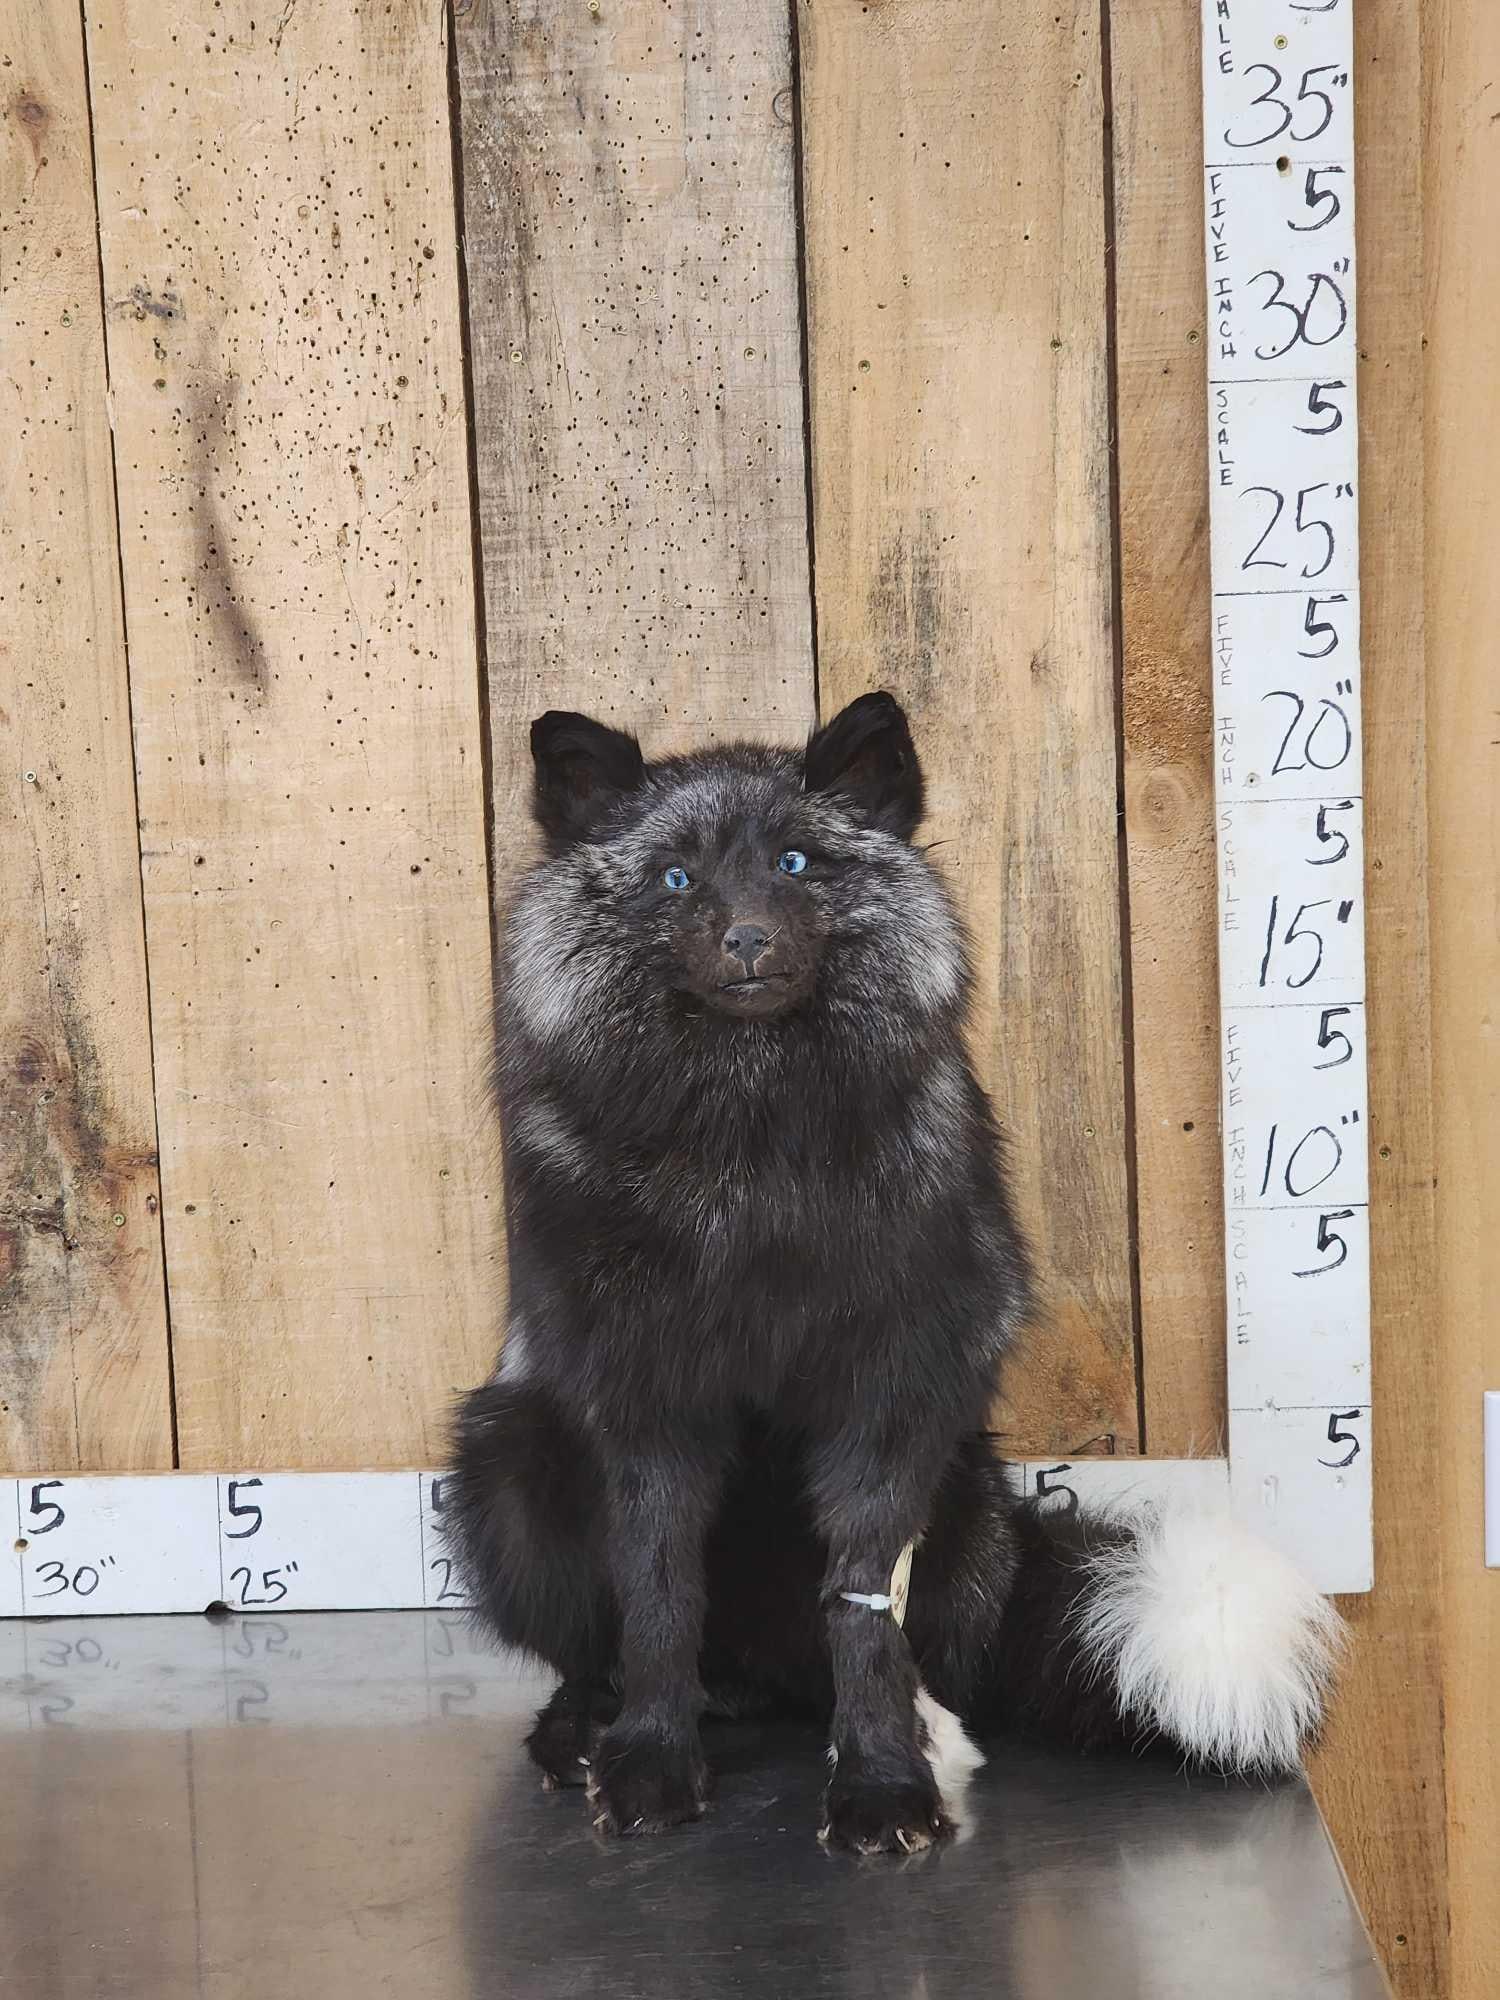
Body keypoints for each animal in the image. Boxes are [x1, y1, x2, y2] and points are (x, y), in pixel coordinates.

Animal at [446, 692, 1342, 1853]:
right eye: (675, 879)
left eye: (795, 862)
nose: (747, 938)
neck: (749, 1146)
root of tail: (761, 1685)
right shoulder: (645, 1395)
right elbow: (656, 1594)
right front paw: (648, 1758)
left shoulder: (893, 1392)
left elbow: (864, 1607)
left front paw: (878, 1779)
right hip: (503, 1459)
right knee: (606, 1651)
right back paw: (584, 1727)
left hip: (962, 1510)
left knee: (906, 1664)